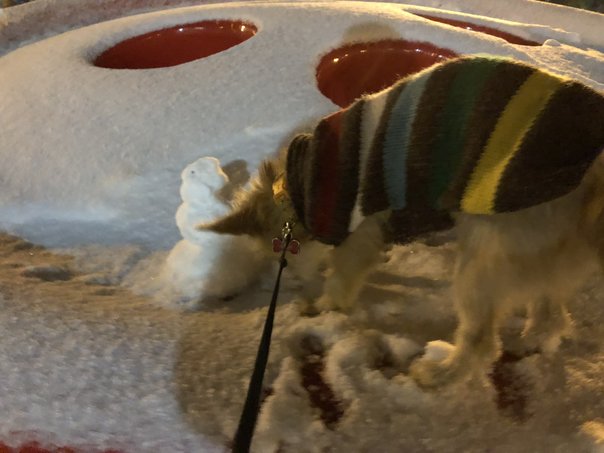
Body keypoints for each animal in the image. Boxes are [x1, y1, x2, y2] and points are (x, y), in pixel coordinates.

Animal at [199, 55, 604, 388]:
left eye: (287, 254)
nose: (296, 284)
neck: (296, 188)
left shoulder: (358, 231)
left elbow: (344, 277)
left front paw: (326, 306)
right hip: (536, 250)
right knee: (550, 313)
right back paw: (533, 339)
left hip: (486, 259)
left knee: (481, 341)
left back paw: (442, 374)